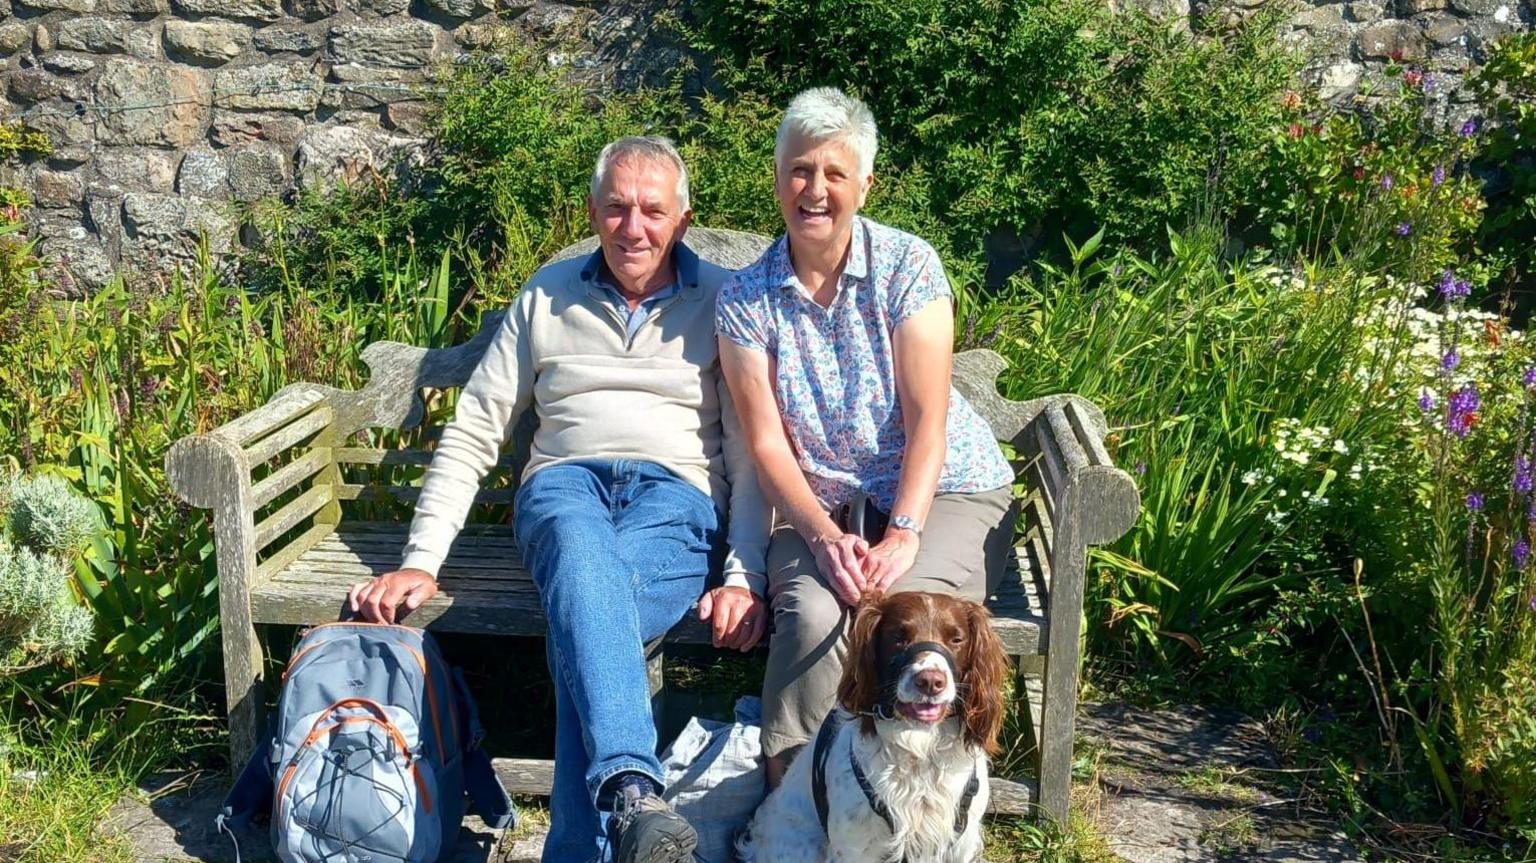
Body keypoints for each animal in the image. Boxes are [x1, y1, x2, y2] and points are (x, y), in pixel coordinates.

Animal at [740, 589, 1007, 859]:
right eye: (898, 637)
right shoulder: (853, 847)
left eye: (956, 639)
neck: (920, 748)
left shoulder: (961, 843)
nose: (930, 682)